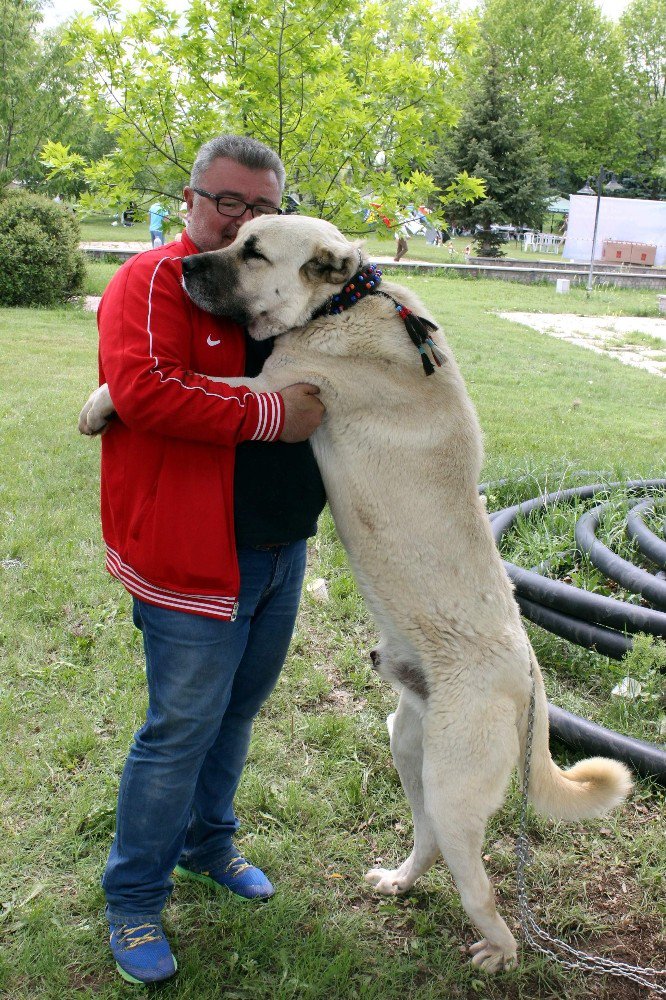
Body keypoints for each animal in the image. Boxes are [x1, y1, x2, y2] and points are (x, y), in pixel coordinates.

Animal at [80, 215, 632, 972]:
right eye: (237, 236)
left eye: (253, 251)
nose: (184, 265)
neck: (342, 304)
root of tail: (530, 676)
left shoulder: (277, 382)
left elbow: (203, 379)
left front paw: (100, 403)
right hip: (408, 745)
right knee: (428, 841)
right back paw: (399, 881)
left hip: (454, 788)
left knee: (480, 884)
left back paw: (498, 950)